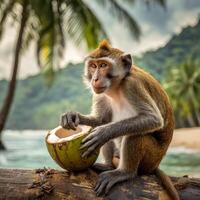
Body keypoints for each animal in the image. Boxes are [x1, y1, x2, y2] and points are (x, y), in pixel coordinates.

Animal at [59, 39, 180, 199]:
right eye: (93, 66)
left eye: (103, 65)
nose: (95, 79)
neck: (117, 86)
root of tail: (156, 165)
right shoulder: (99, 93)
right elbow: (100, 120)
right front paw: (72, 116)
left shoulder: (132, 85)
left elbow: (152, 119)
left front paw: (103, 133)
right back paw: (108, 165)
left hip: (151, 158)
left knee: (135, 135)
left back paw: (124, 172)